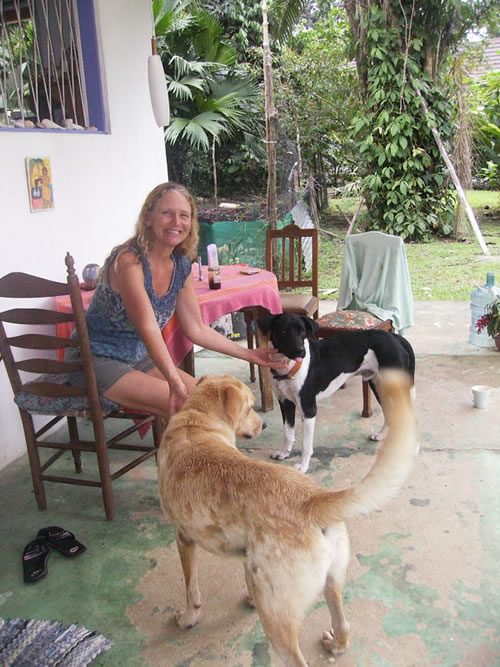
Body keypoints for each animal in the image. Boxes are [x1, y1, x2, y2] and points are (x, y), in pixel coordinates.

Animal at [158, 374, 416, 664]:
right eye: (249, 408)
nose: (264, 424)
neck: (197, 421)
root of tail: (312, 501)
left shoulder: (183, 538)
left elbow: (191, 589)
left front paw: (188, 618)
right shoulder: (247, 554)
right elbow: (247, 577)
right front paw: (250, 597)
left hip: (277, 620)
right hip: (332, 580)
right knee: (344, 625)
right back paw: (334, 644)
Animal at [258, 314, 414, 474]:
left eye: (302, 331)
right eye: (283, 331)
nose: (300, 351)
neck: (288, 365)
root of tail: (395, 337)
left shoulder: (308, 409)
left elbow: (306, 445)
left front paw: (303, 466)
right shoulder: (285, 403)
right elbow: (288, 433)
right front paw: (284, 453)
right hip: (379, 386)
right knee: (390, 412)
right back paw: (381, 435)